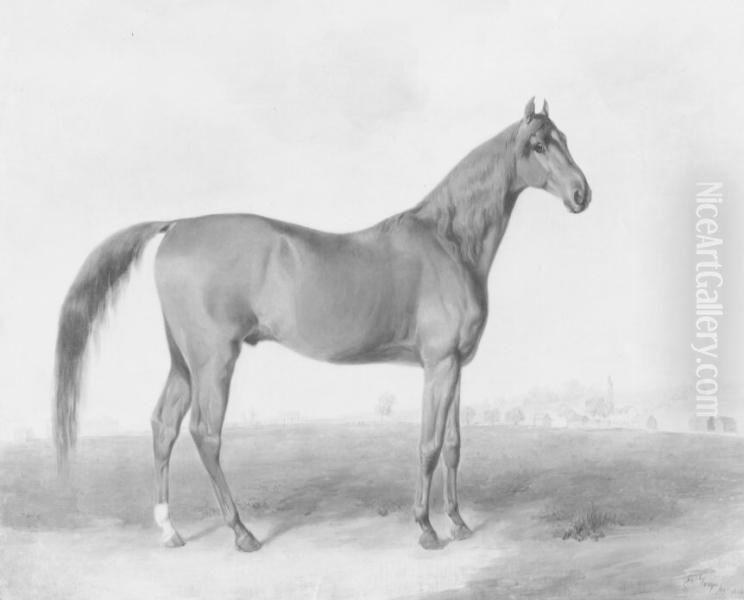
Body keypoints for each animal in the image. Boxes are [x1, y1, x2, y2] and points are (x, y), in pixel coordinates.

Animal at [53, 97, 591, 551]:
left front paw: (458, 523)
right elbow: (429, 444)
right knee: (205, 433)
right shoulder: (438, 365)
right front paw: (426, 528)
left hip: (183, 361)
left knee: (163, 425)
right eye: (538, 145)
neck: (448, 241)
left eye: (564, 137)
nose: (582, 193)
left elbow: (455, 445)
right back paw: (242, 532)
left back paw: (170, 530)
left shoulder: (456, 366)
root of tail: (177, 225)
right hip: (213, 361)